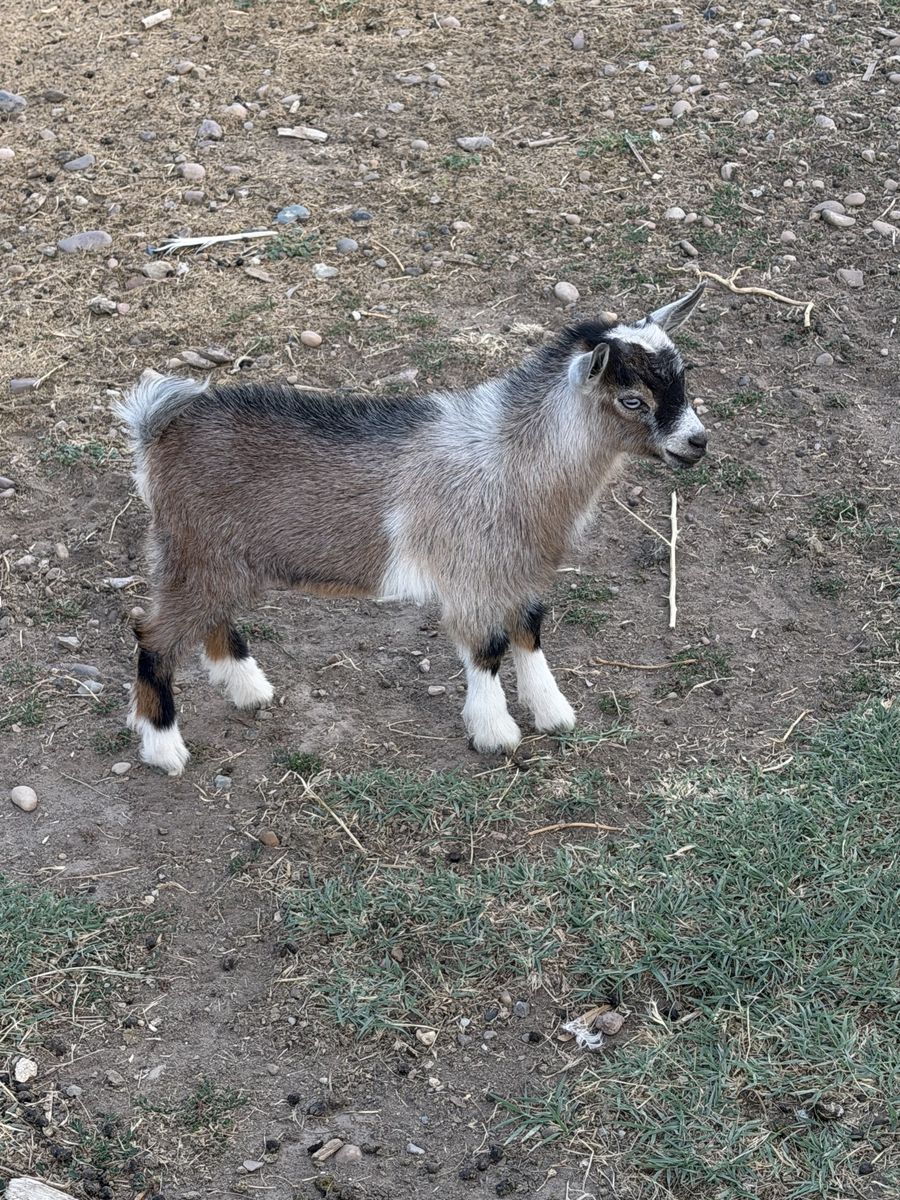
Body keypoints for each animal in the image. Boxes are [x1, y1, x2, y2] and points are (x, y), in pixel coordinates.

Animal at [116, 284, 708, 775]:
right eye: (632, 399)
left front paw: (553, 712)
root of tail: (156, 429)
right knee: (154, 635)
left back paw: (249, 689)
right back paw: (164, 747)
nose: (697, 442)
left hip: (219, 558)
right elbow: (488, 647)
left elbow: (529, 632)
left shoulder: (522, 569)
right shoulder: (472, 573)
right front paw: (495, 733)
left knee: (210, 617)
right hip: (195, 549)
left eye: (683, 381)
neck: (512, 457)